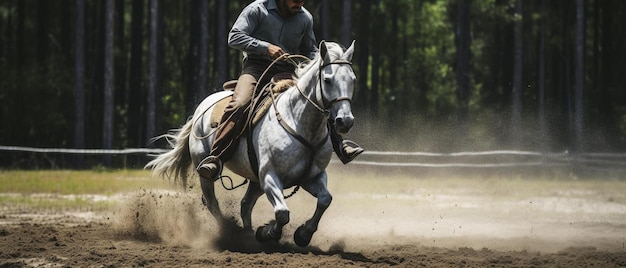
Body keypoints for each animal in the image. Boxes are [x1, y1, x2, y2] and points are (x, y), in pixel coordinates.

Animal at [144, 40, 354, 248]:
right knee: (213, 202)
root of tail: (200, 110)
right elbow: (282, 213)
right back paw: (230, 232)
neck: (299, 122)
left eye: (352, 79)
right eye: (327, 79)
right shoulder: (269, 176)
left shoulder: (312, 176)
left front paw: (303, 234)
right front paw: (268, 232)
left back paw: (247, 233)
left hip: (255, 181)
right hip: (205, 170)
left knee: (245, 204)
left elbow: (325, 200)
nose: (345, 121)